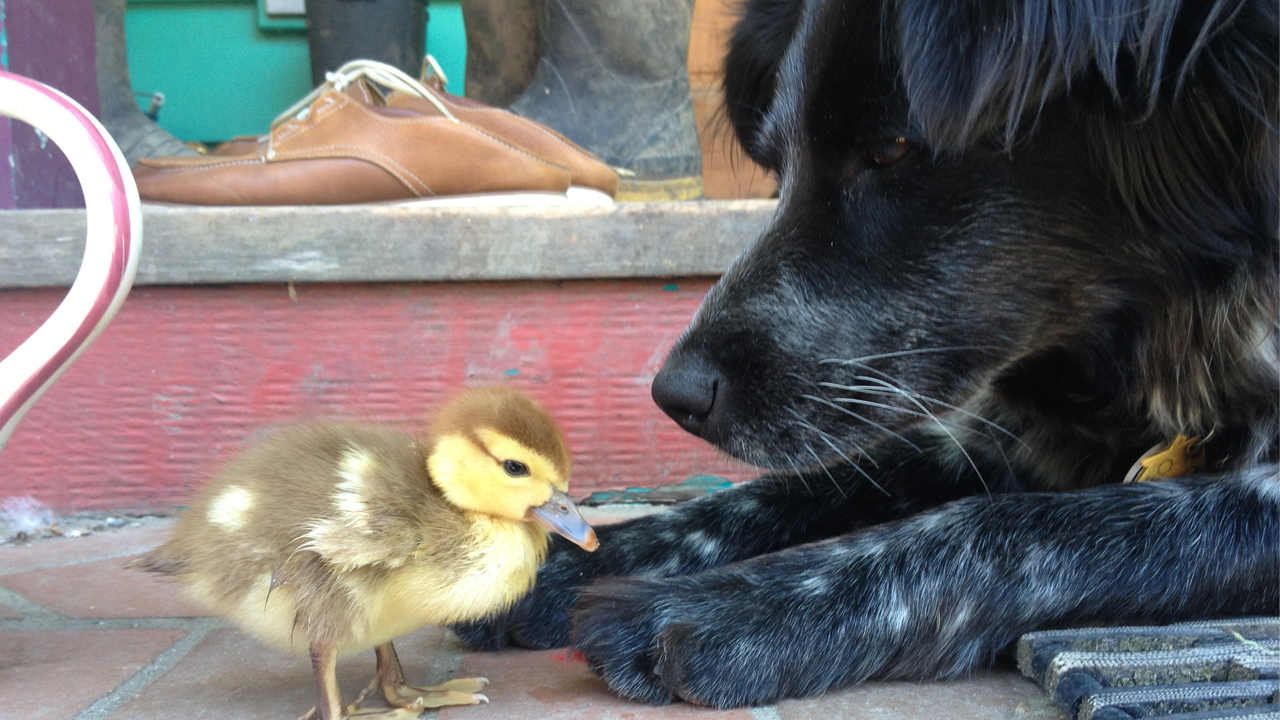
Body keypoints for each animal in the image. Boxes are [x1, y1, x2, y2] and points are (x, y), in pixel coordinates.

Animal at [455, 0, 1274, 707]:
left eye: (892, 148)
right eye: (778, 159)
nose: (675, 396)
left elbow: (1014, 529)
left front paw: (736, 608)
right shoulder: (1005, 435)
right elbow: (794, 486)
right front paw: (551, 556)